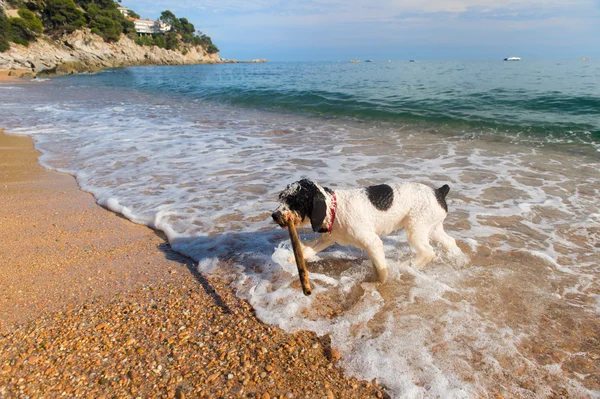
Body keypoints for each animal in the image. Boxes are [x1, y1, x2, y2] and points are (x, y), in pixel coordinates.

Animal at [272, 180, 464, 282]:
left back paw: (406, 266)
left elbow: (381, 269)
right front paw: (289, 260)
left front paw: (381, 281)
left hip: (416, 227)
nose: (274, 215)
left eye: (294, 201)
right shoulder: (327, 238)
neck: (335, 208)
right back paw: (461, 260)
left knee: (427, 252)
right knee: (449, 242)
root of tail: (438, 192)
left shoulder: (372, 241)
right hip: (432, 227)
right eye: (282, 198)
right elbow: (307, 251)